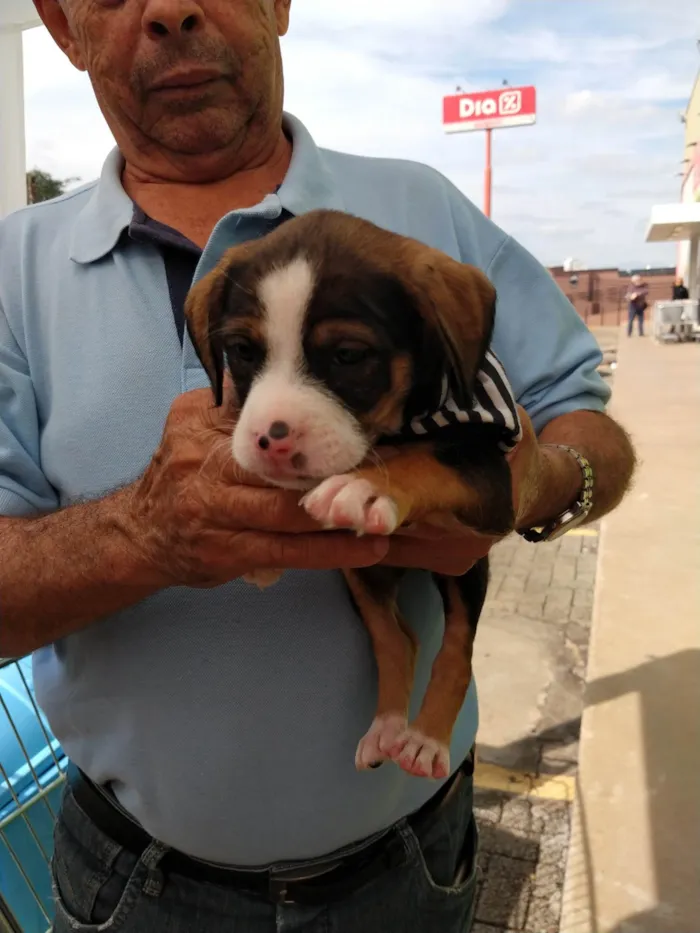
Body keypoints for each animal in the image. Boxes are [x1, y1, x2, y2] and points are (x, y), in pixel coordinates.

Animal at [186, 209, 520, 780]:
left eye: (348, 355)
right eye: (243, 351)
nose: (270, 440)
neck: (398, 424)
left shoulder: (491, 479)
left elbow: (424, 460)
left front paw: (366, 486)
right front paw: (258, 546)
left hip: (467, 568)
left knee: (455, 647)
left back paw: (424, 740)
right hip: (360, 575)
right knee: (397, 639)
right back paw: (387, 728)